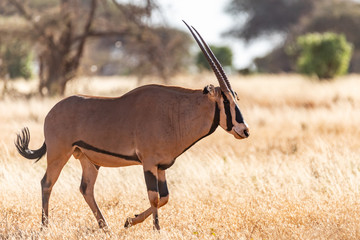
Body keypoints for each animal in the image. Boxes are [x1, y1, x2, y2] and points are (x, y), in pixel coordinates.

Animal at [15, 22, 249, 231]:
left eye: (236, 97)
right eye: (226, 101)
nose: (244, 130)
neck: (175, 112)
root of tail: (51, 112)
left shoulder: (161, 166)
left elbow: (164, 198)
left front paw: (130, 221)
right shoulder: (149, 163)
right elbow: (154, 197)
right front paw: (154, 229)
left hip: (89, 160)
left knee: (86, 189)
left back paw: (105, 227)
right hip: (58, 154)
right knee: (47, 183)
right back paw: (45, 227)